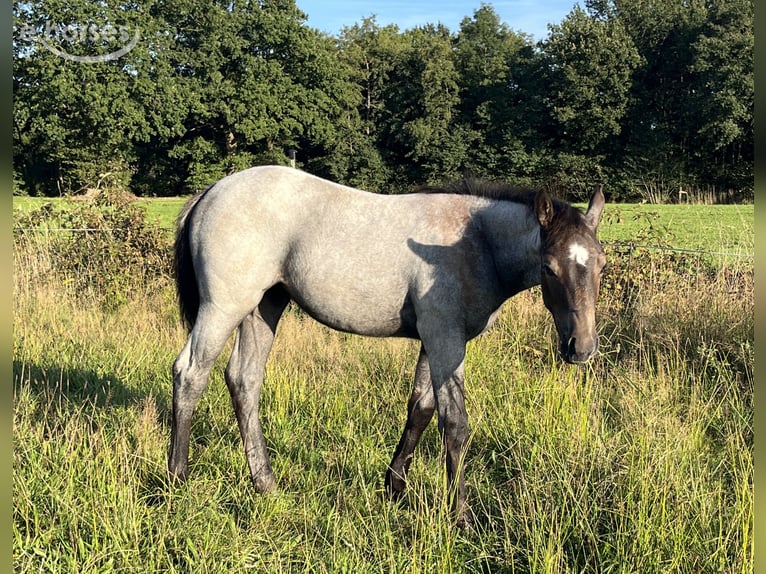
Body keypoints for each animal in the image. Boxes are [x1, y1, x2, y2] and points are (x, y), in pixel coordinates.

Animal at [168, 165, 606, 528]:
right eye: (549, 267)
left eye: (601, 264)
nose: (581, 348)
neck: (473, 242)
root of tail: (210, 191)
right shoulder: (446, 339)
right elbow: (455, 423)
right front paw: (461, 517)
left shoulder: (434, 339)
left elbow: (421, 409)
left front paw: (394, 487)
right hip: (224, 307)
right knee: (190, 374)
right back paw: (178, 478)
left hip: (264, 306)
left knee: (244, 381)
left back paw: (266, 483)